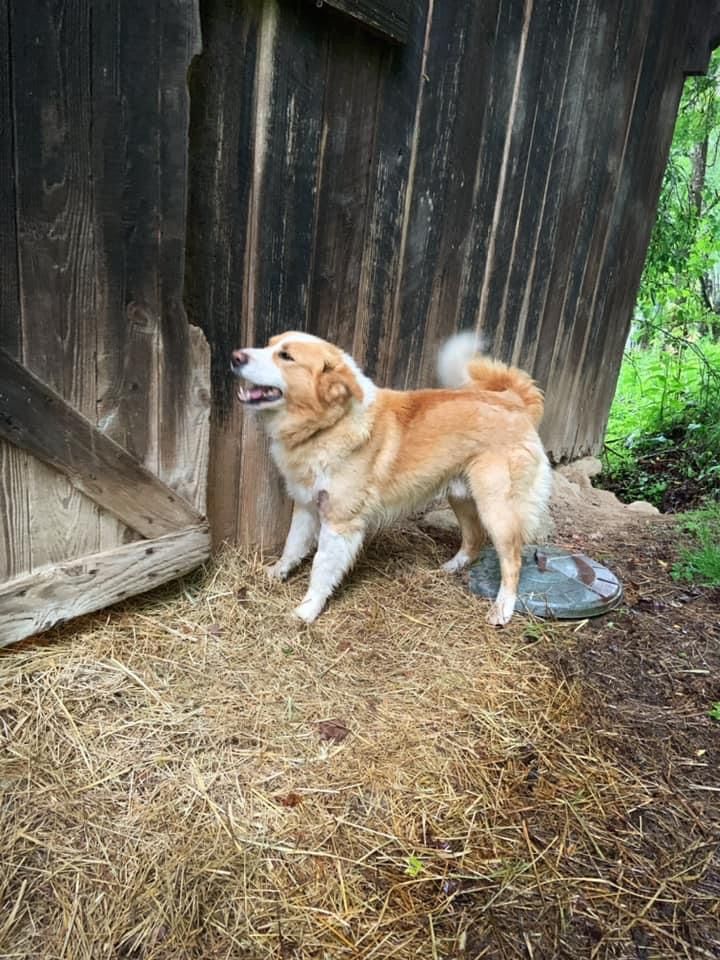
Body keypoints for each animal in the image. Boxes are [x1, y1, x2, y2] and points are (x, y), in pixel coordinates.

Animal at [230, 331, 551, 626]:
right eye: (268, 345)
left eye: (286, 356)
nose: (235, 356)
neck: (329, 425)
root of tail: (513, 399)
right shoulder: (308, 506)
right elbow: (291, 546)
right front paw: (276, 574)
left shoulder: (340, 523)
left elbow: (321, 568)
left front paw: (307, 610)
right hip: (462, 496)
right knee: (473, 540)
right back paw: (451, 567)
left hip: (496, 508)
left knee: (512, 560)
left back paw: (502, 609)